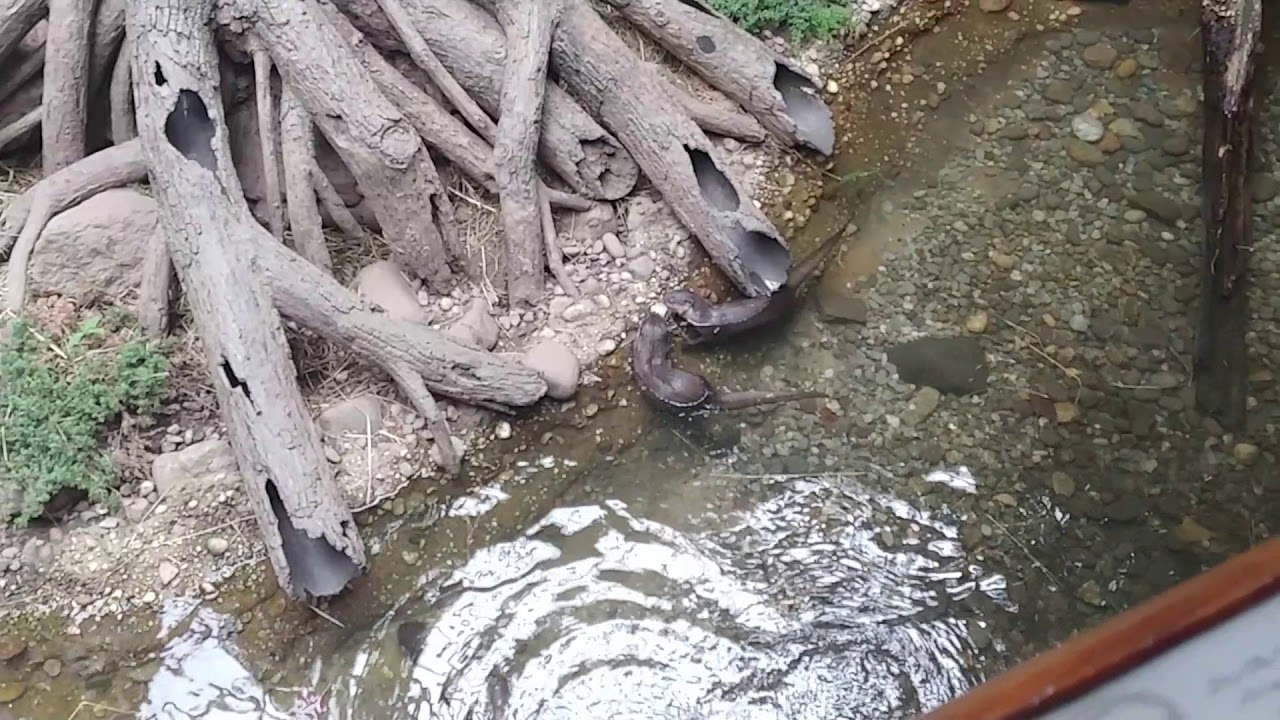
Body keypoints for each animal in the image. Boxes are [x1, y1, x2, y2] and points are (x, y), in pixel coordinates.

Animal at [665, 222, 851, 346]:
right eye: (672, 294)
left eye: (672, 300)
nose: (665, 298)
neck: (704, 316)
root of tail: (783, 288)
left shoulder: (708, 331)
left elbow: (701, 341)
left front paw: (685, 342)